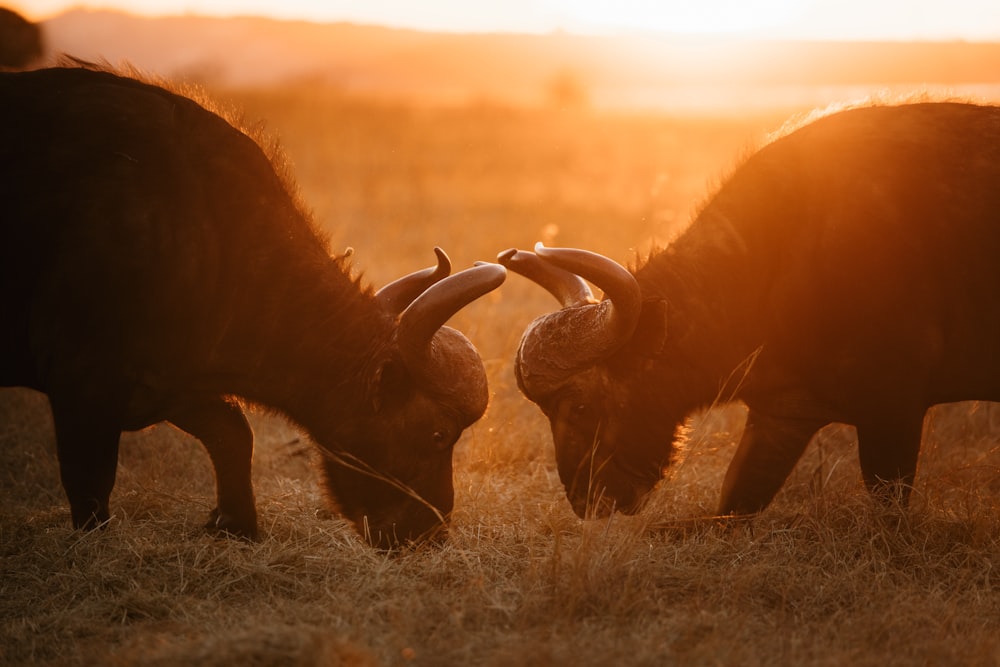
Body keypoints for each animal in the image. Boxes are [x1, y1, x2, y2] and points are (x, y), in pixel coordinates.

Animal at [0, 65, 504, 552]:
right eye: (439, 434)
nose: (430, 535)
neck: (208, 231)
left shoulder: (170, 382)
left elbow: (233, 434)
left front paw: (235, 524)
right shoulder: (84, 385)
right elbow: (91, 484)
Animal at [504, 103, 1000, 520]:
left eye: (581, 405)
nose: (587, 502)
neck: (778, 253)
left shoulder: (893, 409)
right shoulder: (782, 417)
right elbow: (730, 505)